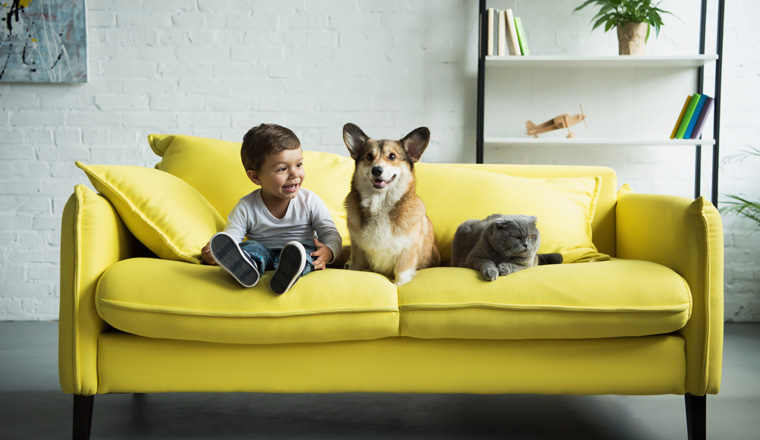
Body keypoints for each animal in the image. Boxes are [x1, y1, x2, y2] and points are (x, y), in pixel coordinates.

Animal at [342, 123, 442, 286]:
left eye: (392, 156)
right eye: (369, 156)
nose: (376, 170)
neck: (380, 204)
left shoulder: (407, 250)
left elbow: (401, 272)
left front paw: (399, 285)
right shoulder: (357, 249)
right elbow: (355, 265)